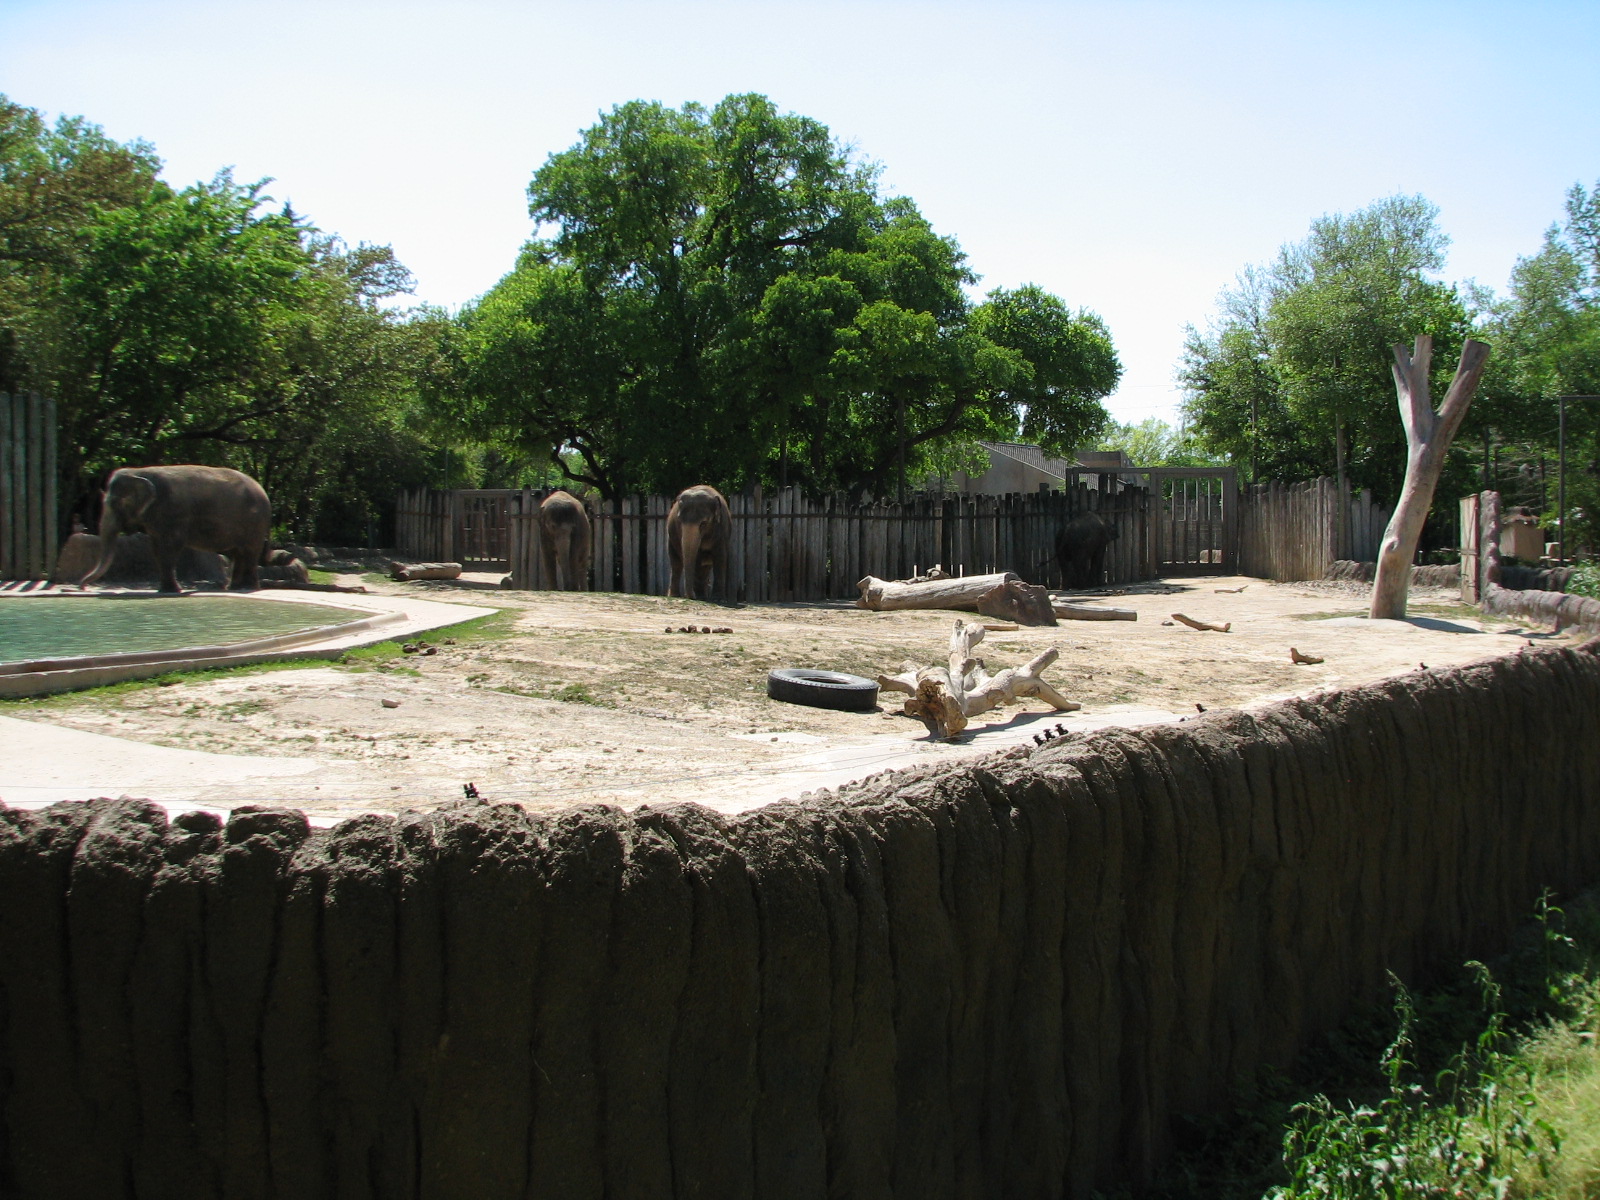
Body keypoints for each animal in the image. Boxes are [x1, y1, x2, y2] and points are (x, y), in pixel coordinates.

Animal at [81, 465, 271, 593]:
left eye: (115, 503)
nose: (83, 587)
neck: (140, 472)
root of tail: (261, 488)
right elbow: (157, 549)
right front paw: (165, 590)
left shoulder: (173, 510)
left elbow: (170, 546)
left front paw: (172, 591)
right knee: (238, 553)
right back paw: (234, 587)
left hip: (256, 522)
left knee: (249, 551)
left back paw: (247, 588)